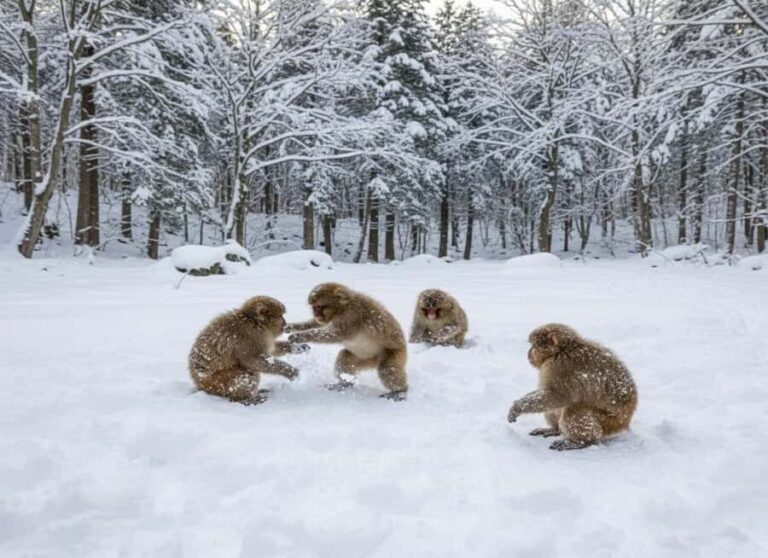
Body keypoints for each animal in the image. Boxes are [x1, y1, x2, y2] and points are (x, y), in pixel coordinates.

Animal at [507, 323, 638, 451]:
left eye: (534, 346)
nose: (528, 353)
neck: (562, 350)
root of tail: (625, 422)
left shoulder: (561, 366)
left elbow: (556, 395)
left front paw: (517, 407)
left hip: (610, 421)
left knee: (575, 409)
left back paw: (580, 442)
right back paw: (555, 430)